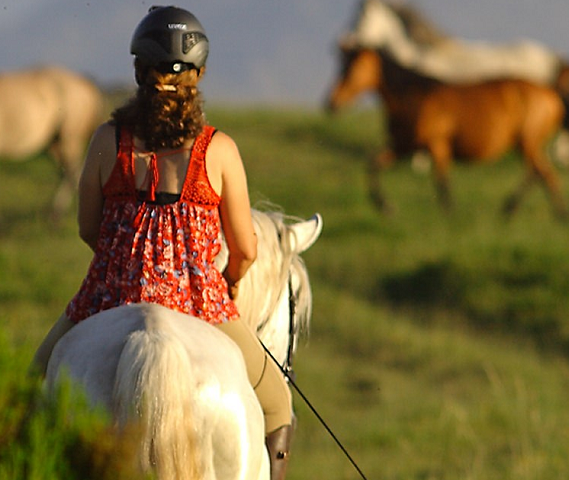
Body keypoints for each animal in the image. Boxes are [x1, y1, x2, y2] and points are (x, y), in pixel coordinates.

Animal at [0, 65, 102, 219]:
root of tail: (82, 81)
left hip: (69, 139)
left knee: (72, 172)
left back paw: (57, 214)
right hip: (54, 143)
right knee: (65, 172)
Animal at [326, 46, 564, 218]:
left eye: (355, 68)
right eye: (341, 67)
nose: (332, 102)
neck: (414, 99)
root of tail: (551, 95)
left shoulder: (437, 144)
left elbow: (442, 182)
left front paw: (450, 216)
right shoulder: (404, 146)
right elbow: (373, 165)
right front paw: (386, 206)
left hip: (528, 142)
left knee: (545, 174)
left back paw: (553, 213)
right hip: (528, 144)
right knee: (538, 173)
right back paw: (511, 208)